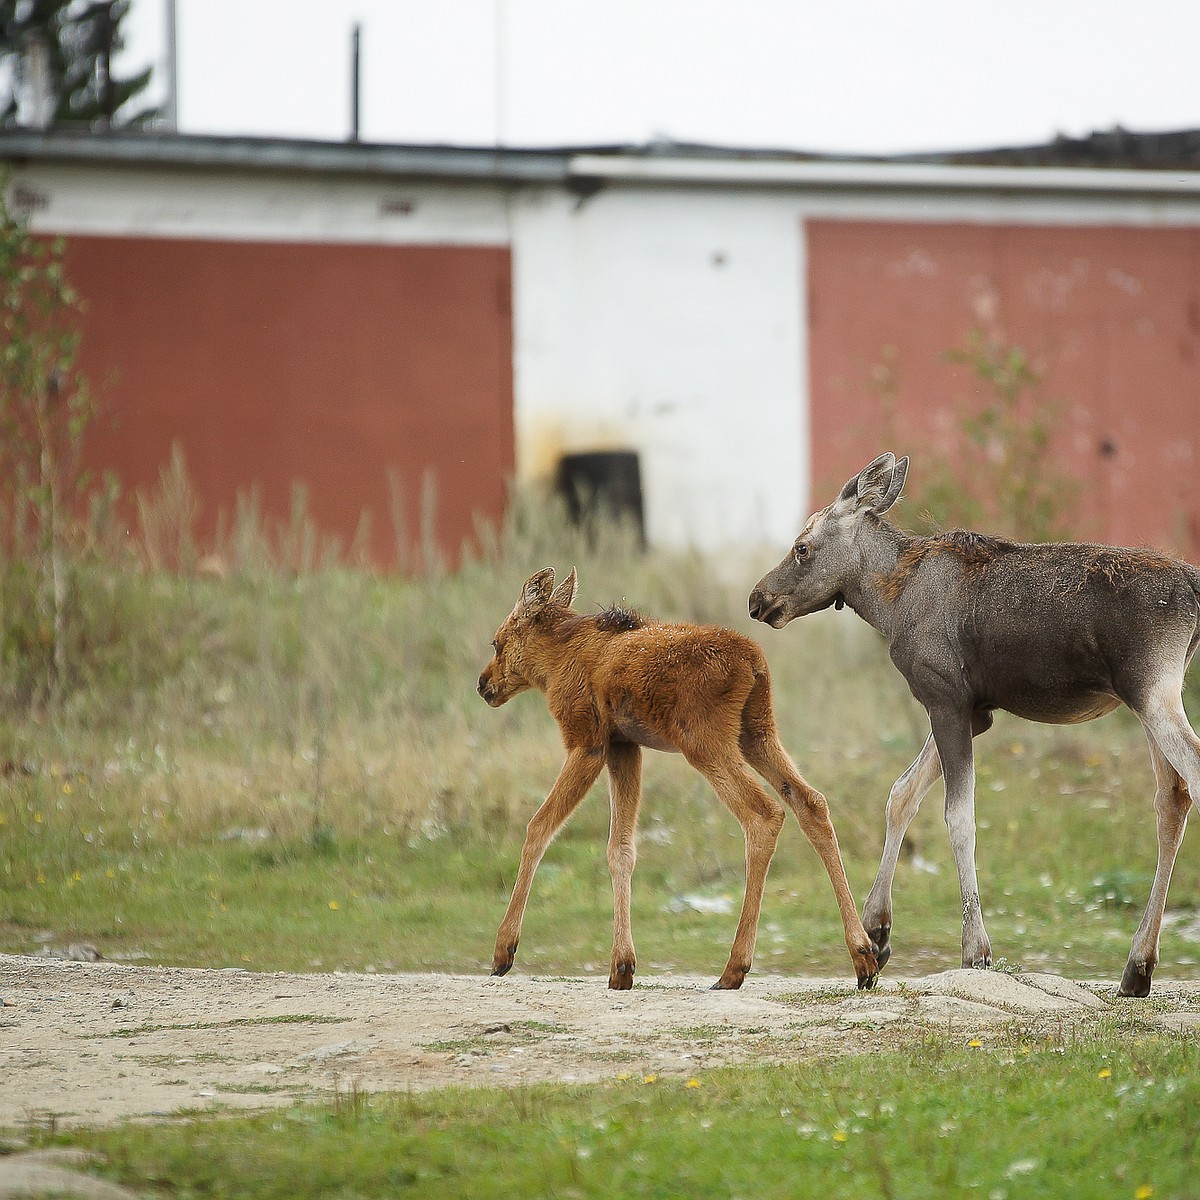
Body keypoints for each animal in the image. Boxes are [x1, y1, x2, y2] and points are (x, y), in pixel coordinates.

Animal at [477, 566, 883, 988]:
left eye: (497, 643)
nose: (483, 683)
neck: (553, 663)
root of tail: (754, 663)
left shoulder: (587, 742)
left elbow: (538, 828)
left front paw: (504, 949)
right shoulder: (624, 745)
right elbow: (621, 849)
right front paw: (622, 964)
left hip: (705, 742)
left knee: (764, 813)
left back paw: (734, 967)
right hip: (757, 734)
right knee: (811, 802)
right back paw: (863, 955)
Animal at [748, 451, 1200, 993]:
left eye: (802, 547)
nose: (757, 599)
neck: (887, 603)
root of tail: (1196, 590)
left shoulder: (944, 697)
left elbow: (958, 817)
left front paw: (975, 949)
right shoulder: (972, 710)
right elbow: (901, 794)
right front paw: (876, 933)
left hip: (1153, 691)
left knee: (1190, 781)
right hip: (1153, 695)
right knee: (1172, 802)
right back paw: (1137, 967)